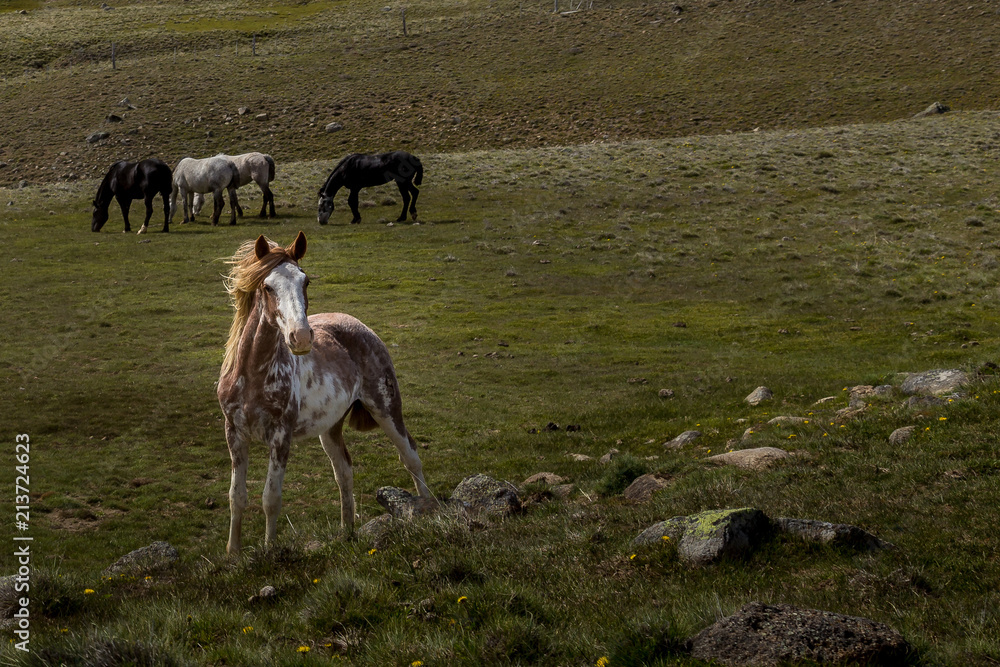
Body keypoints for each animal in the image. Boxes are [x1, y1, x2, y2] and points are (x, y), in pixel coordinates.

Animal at [217, 231, 433, 555]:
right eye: (268, 286)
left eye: (305, 281)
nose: (301, 337)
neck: (252, 375)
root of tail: (359, 325)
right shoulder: (234, 433)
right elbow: (236, 497)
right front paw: (233, 554)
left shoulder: (281, 437)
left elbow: (271, 499)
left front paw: (269, 553)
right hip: (330, 428)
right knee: (344, 471)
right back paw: (347, 533)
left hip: (386, 409)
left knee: (411, 457)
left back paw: (427, 511)